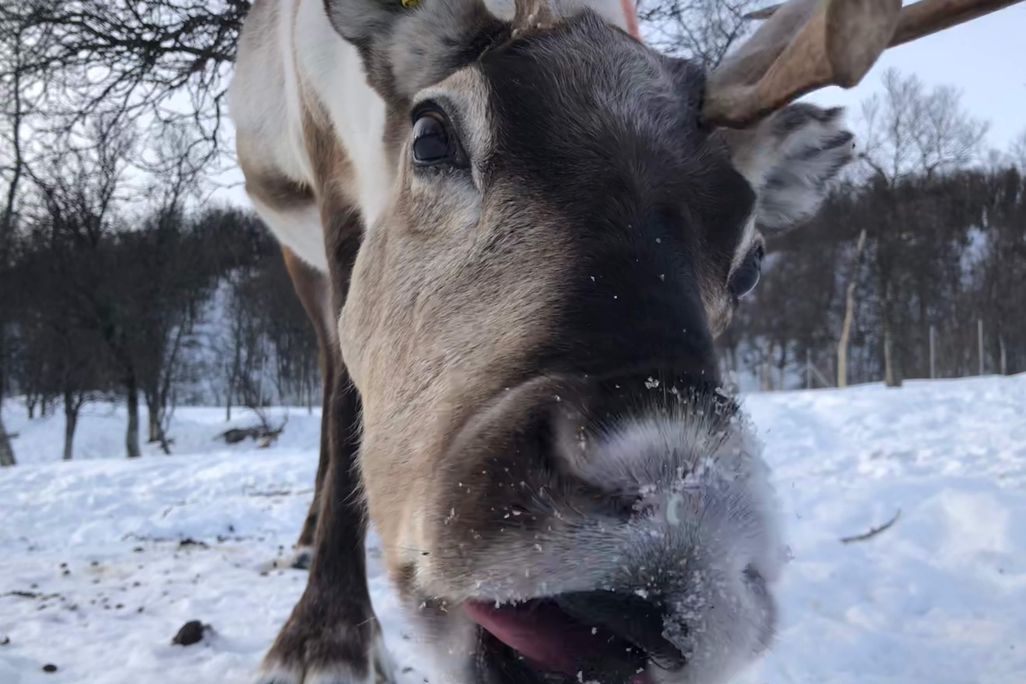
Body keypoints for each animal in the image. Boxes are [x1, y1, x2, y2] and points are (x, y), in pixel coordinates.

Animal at [228, 0, 1021, 682]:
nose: (679, 515)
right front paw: (322, 643)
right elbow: (345, 405)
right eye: (430, 135)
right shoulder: (334, 196)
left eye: (751, 260)